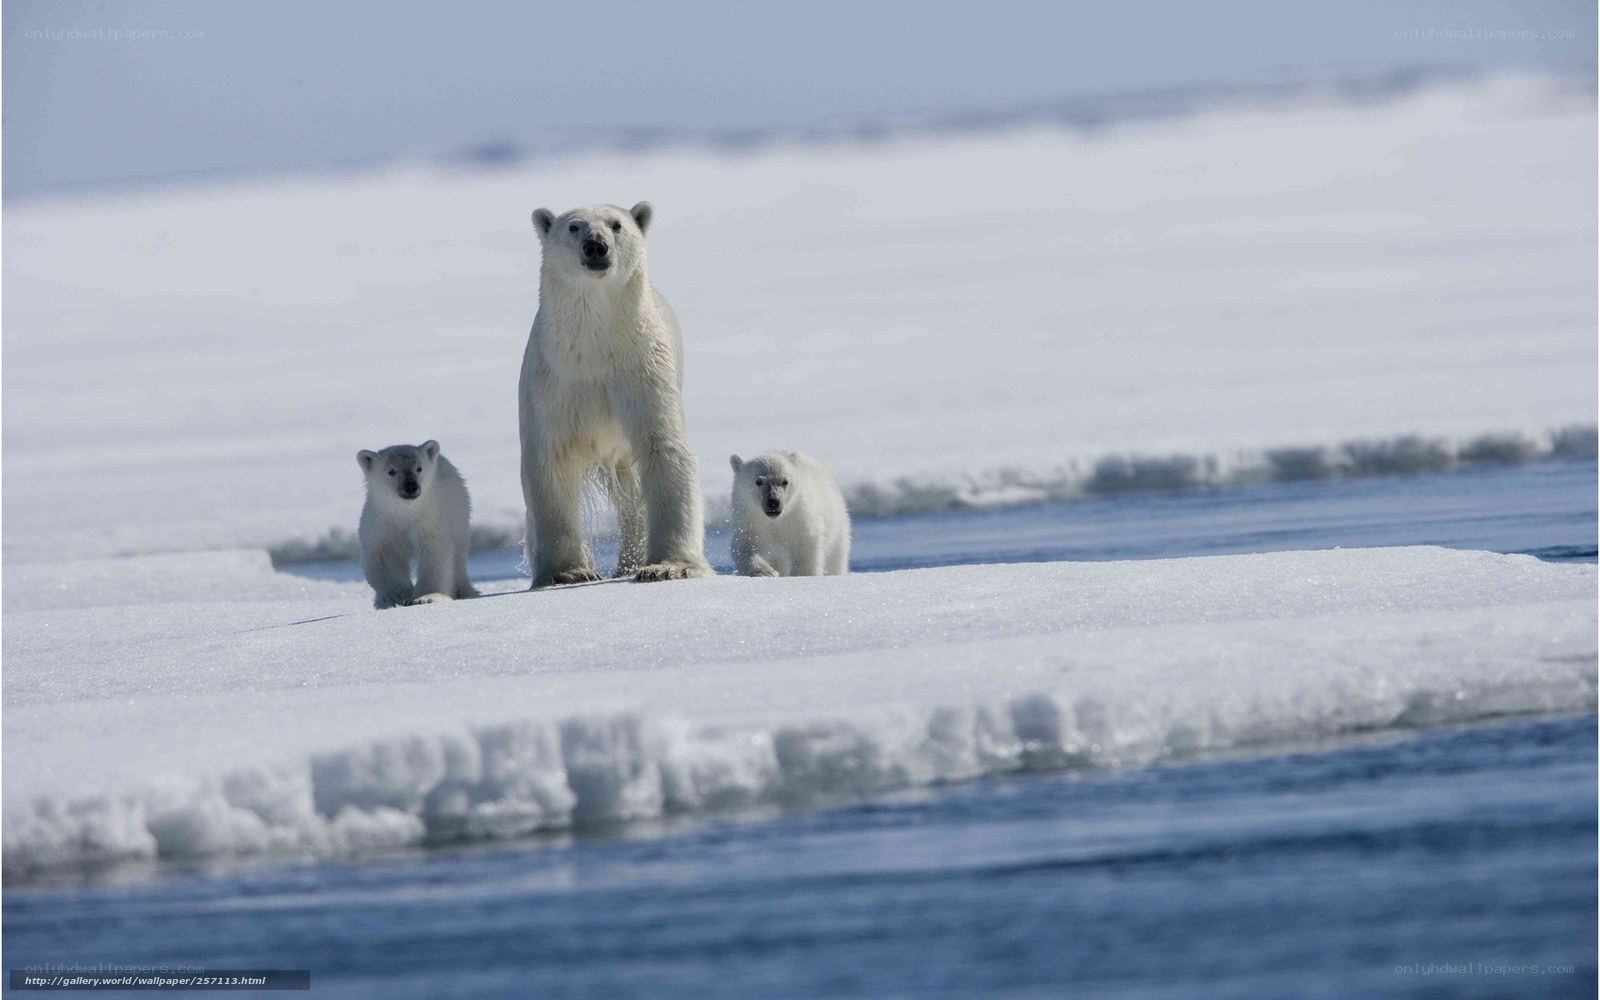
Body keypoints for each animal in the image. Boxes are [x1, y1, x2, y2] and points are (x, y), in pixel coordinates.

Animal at [356, 440, 478, 609]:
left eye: (418, 468)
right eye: (391, 471)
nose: (410, 486)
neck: (405, 511)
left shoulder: (429, 519)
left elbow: (433, 553)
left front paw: (426, 597)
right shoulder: (380, 523)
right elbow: (382, 556)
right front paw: (399, 594)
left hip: (458, 514)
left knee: (458, 557)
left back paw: (463, 591)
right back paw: (382, 602)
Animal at [519, 201, 714, 587]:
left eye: (616, 224)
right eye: (574, 226)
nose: (596, 246)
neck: (595, 347)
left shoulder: (642, 368)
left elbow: (664, 447)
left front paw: (668, 566)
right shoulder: (553, 381)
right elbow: (551, 459)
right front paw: (568, 572)